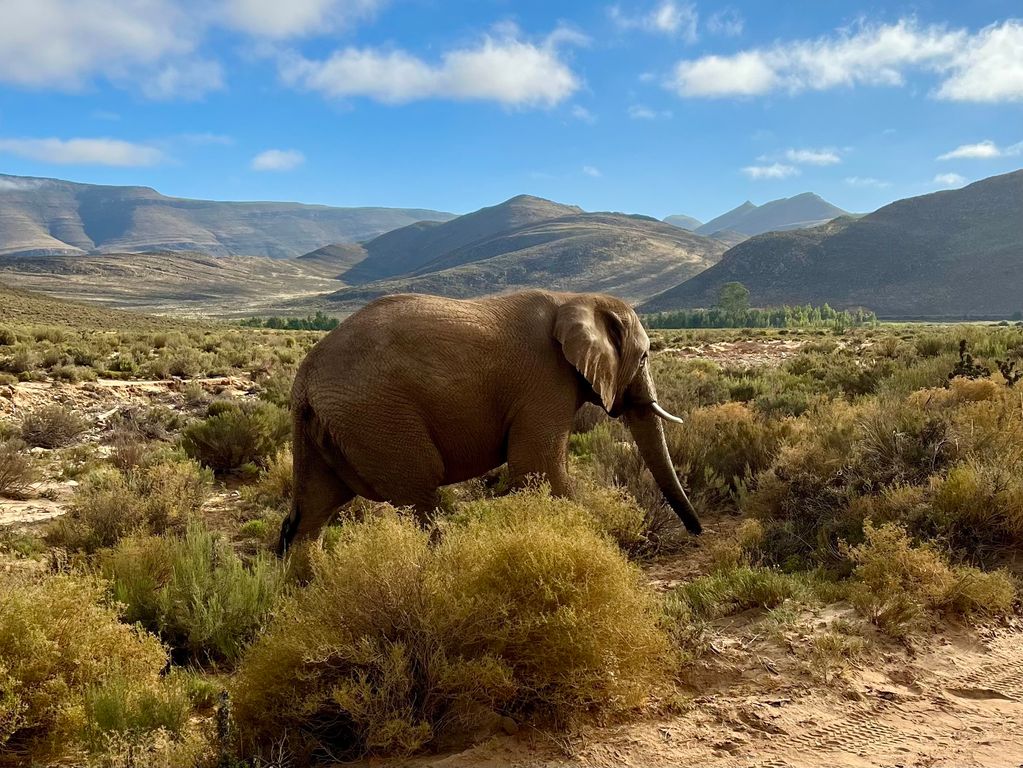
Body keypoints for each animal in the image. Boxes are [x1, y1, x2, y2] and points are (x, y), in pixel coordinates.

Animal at [276, 288, 699, 552]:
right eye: (644, 357)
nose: (697, 533)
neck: (575, 299)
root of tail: (305, 379)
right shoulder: (544, 381)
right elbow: (540, 469)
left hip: (328, 426)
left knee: (311, 514)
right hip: (378, 417)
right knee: (418, 497)